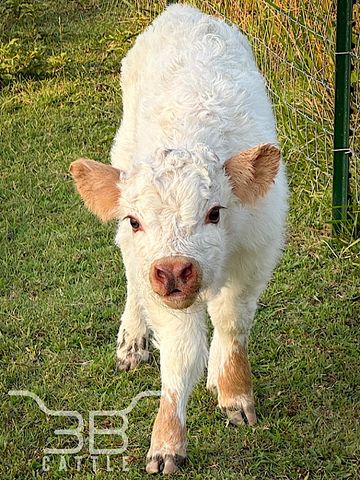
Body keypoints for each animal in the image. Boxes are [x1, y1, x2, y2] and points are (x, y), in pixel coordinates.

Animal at [71, 3, 286, 474]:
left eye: (214, 212)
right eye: (135, 220)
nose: (173, 270)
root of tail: (182, 11)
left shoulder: (256, 253)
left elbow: (232, 322)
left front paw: (233, 392)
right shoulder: (157, 284)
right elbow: (182, 352)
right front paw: (167, 441)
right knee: (133, 282)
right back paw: (132, 342)